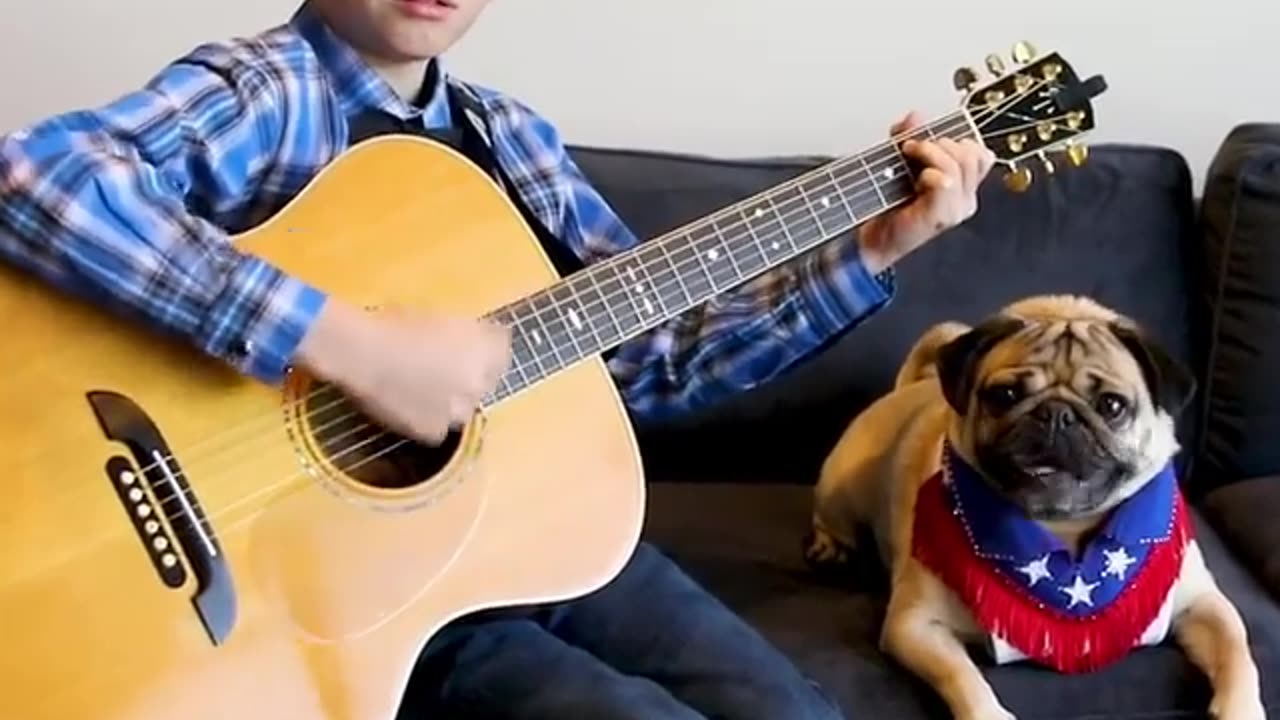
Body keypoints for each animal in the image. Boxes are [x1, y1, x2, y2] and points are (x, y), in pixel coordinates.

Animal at [803, 293, 1264, 717]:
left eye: (1112, 406)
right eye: (1004, 395)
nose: (1056, 414)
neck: (1065, 533)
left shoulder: (1202, 605)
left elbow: (1238, 650)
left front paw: (1241, 709)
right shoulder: (914, 624)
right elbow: (961, 673)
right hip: (840, 488)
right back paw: (830, 547)